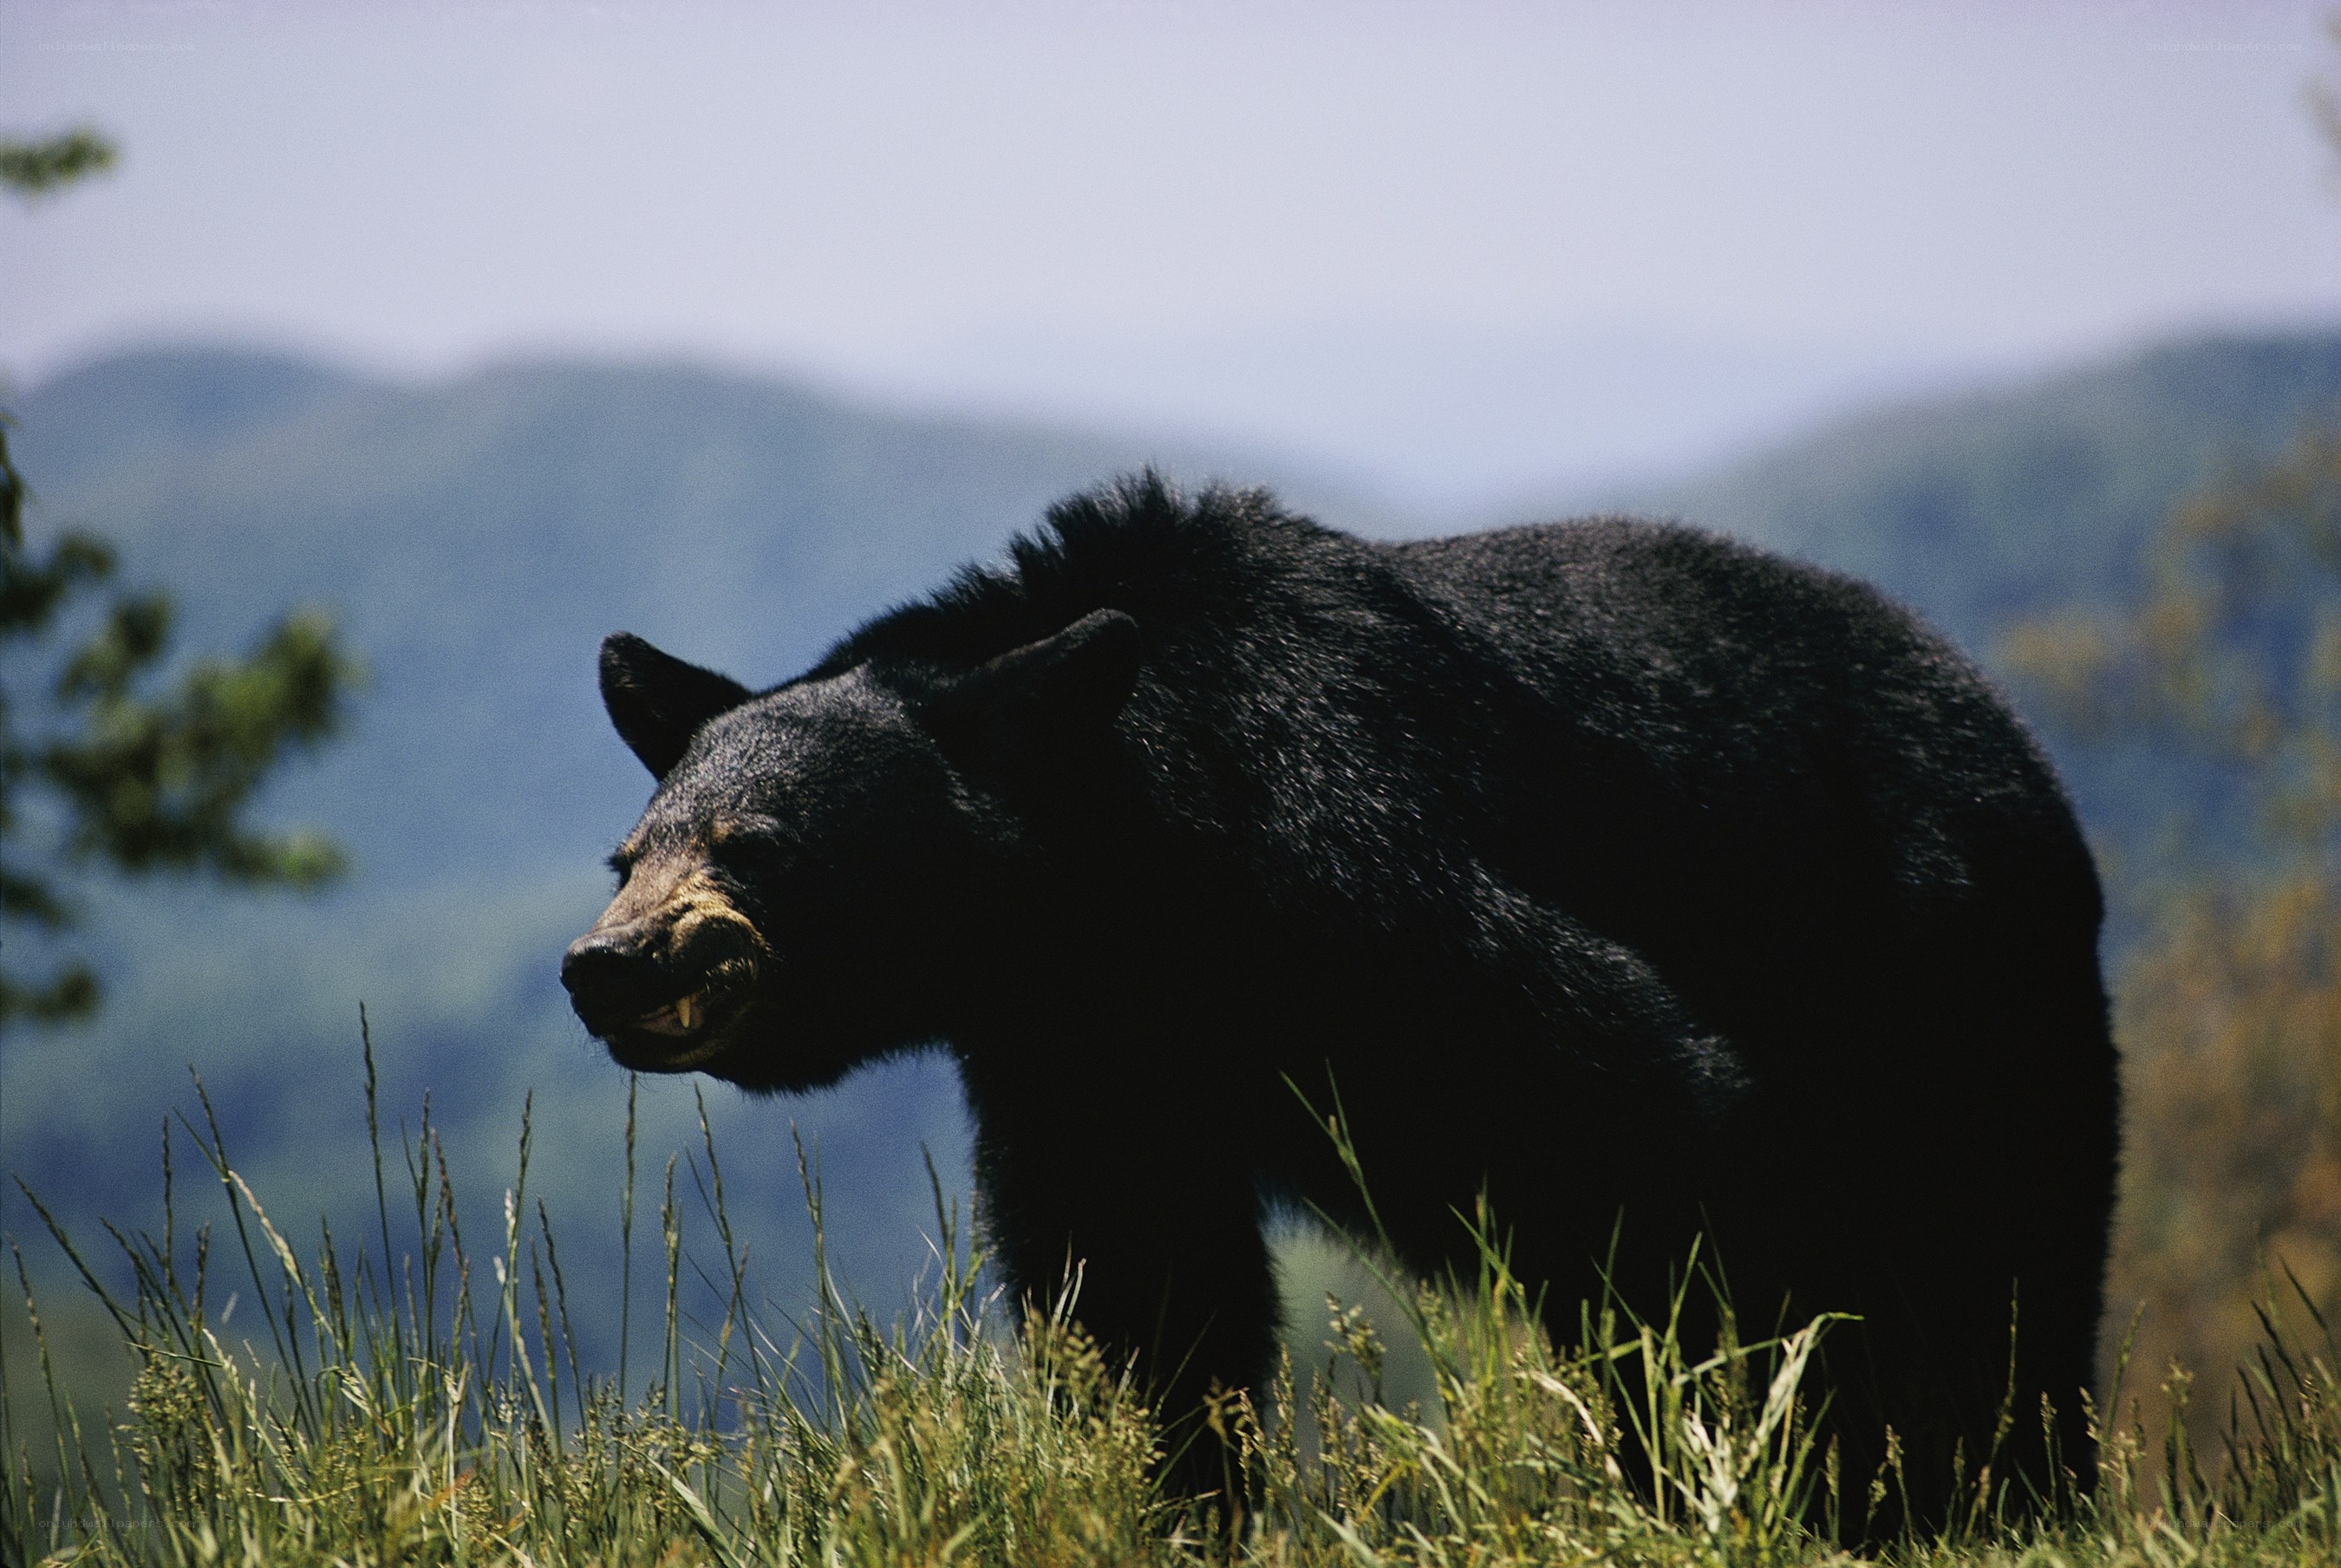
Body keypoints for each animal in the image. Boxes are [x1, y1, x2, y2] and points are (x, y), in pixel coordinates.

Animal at [561, 472, 2119, 1525]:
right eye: (629, 850)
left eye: (758, 843)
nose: (611, 962)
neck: (1135, 859)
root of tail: (2009, 729)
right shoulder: (1088, 1040)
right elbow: (1139, 1283)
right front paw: (1175, 1497)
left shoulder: (1355, 869)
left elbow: (1628, 1106)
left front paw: (1737, 1465)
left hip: (1950, 966)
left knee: (1996, 1247)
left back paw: (1989, 1486)